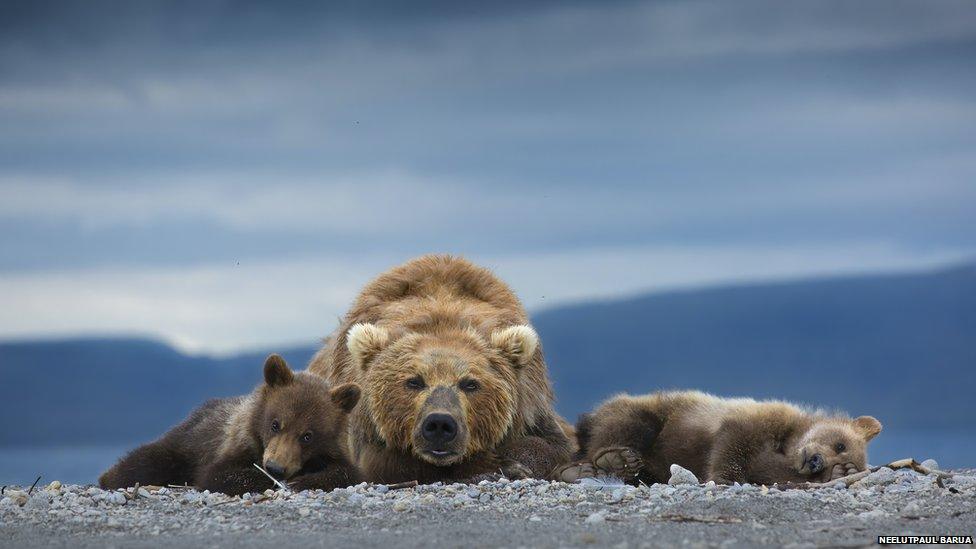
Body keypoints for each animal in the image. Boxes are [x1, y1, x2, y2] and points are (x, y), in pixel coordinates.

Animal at [99, 354, 362, 494]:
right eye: (275, 424)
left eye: (308, 435)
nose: (275, 467)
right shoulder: (234, 443)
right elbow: (218, 474)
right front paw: (267, 479)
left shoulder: (337, 451)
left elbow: (348, 473)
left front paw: (303, 480)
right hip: (183, 446)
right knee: (144, 462)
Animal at [308, 255, 572, 482]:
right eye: (414, 381)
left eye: (470, 383)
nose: (439, 424)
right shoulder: (362, 423)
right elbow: (384, 461)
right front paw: (493, 467)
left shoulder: (530, 404)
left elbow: (549, 445)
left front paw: (515, 463)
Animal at [556, 390, 884, 484]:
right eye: (839, 443)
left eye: (842, 454)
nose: (816, 461)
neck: (788, 441)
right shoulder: (755, 420)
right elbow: (732, 443)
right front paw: (724, 477)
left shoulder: (777, 459)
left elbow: (767, 470)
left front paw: (838, 475)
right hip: (652, 411)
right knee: (627, 426)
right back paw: (611, 459)